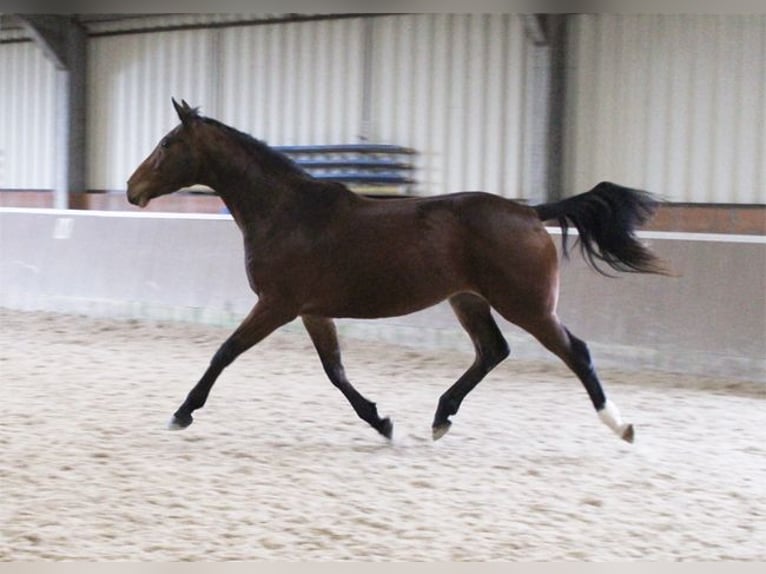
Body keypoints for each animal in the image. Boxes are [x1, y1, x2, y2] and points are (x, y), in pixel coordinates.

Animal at [127, 99, 672, 446]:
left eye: (168, 142)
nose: (132, 189)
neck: (286, 212)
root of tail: (530, 212)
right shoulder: (311, 311)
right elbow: (336, 371)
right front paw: (382, 422)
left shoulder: (277, 305)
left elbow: (225, 352)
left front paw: (181, 413)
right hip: (468, 299)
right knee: (492, 351)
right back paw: (440, 418)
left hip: (528, 306)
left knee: (574, 352)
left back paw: (620, 426)